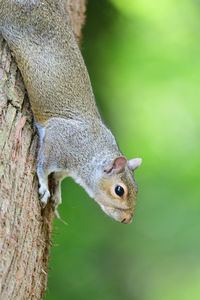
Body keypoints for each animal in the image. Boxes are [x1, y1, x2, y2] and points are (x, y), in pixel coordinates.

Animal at [0, 0, 141, 224]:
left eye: (137, 189)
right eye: (119, 190)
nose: (127, 220)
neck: (90, 152)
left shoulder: (64, 166)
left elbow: (57, 177)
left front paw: (56, 194)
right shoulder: (59, 141)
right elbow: (43, 166)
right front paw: (44, 186)